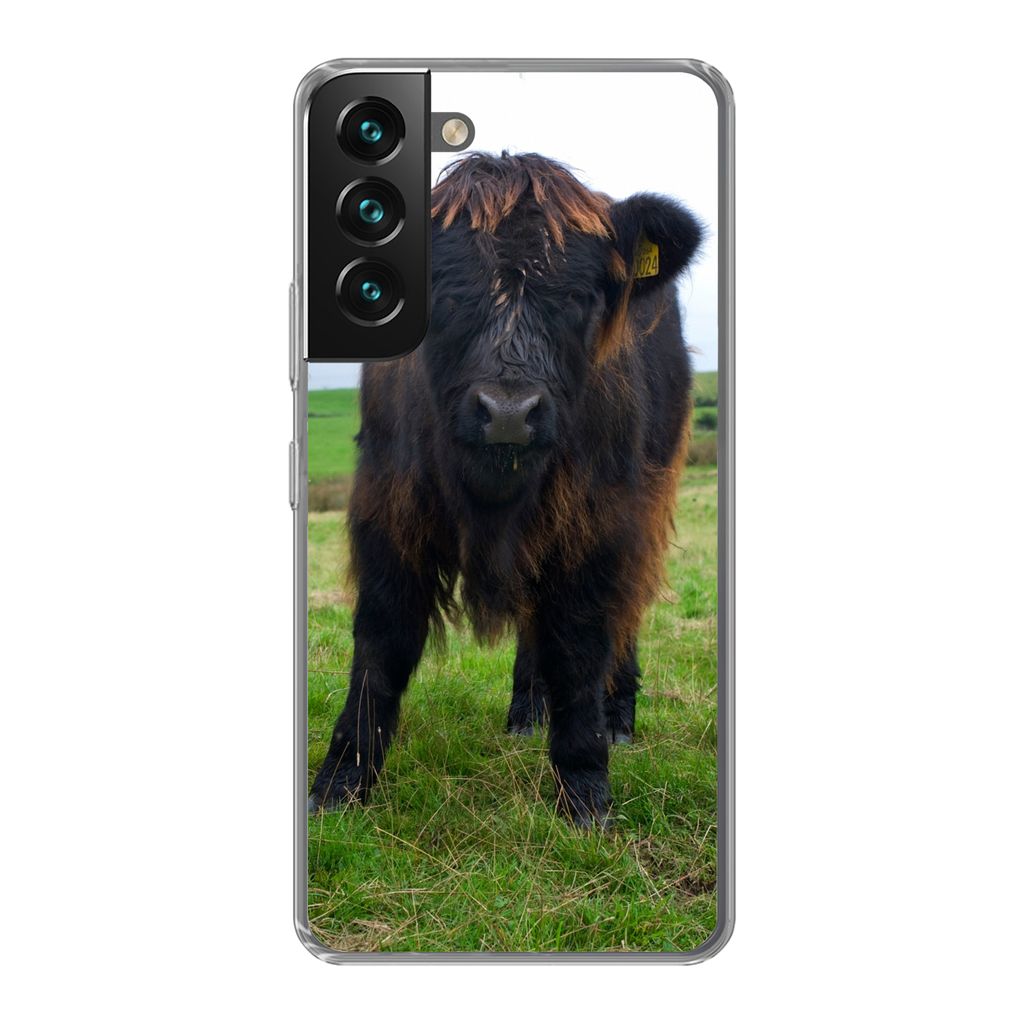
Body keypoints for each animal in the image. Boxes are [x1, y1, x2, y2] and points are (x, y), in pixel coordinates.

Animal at [308, 152, 704, 827]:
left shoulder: (599, 521)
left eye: (580, 297)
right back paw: (525, 710)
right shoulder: (389, 507)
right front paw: (340, 783)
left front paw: (585, 792)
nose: (510, 413)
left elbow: (581, 643)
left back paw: (618, 717)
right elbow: (382, 641)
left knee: (625, 612)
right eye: (442, 292)